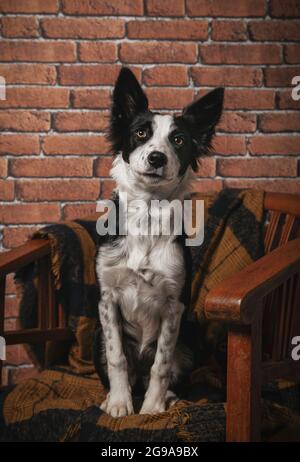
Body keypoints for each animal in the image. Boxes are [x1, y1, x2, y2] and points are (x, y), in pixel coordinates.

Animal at [95, 68, 224, 418]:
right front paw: (120, 403)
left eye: (178, 140)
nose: (156, 157)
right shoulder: (107, 300)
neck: (147, 215)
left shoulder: (174, 306)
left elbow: (162, 364)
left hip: (191, 339)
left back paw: (168, 398)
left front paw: (151, 407)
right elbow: (117, 357)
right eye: (141, 133)